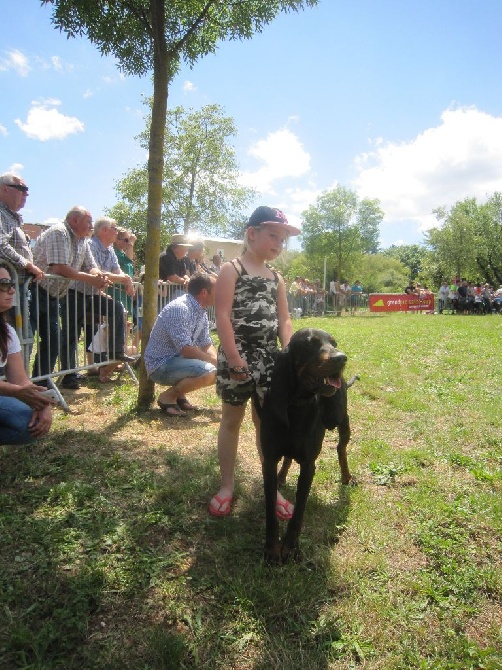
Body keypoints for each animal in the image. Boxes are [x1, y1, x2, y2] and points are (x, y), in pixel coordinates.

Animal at [260, 328, 354, 564]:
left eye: (334, 343)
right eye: (310, 344)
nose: (342, 358)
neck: (297, 405)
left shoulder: (309, 465)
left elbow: (300, 508)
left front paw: (290, 546)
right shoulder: (269, 460)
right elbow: (270, 507)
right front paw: (272, 547)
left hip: (341, 418)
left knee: (341, 448)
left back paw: (347, 476)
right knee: (289, 457)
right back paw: (282, 476)